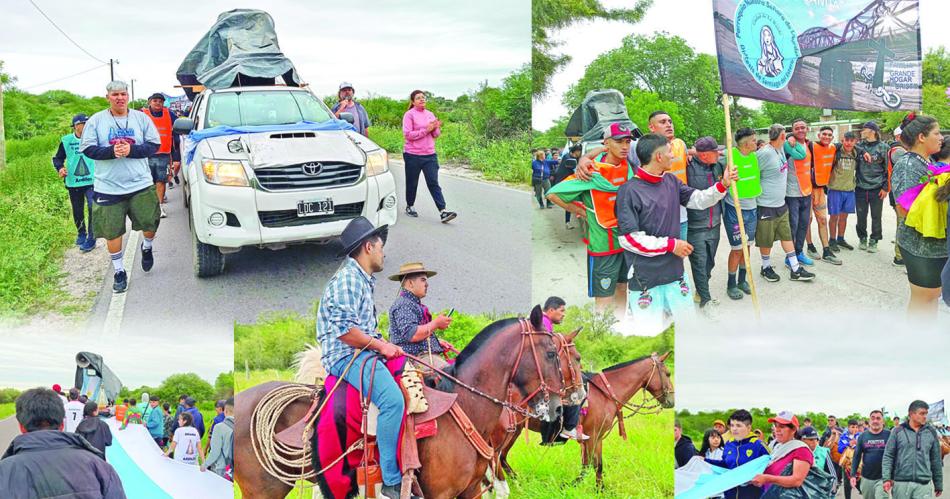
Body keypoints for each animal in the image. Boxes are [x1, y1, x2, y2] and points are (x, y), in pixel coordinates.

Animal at [490, 354, 676, 490]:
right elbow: (593, 465)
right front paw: (592, 489)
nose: (671, 401)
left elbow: (591, 465)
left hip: (514, 431)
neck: (605, 393)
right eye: (667, 374)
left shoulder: (595, 438)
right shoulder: (592, 436)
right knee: (496, 458)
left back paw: (518, 483)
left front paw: (584, 487)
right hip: (507, 433)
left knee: (502, 458)